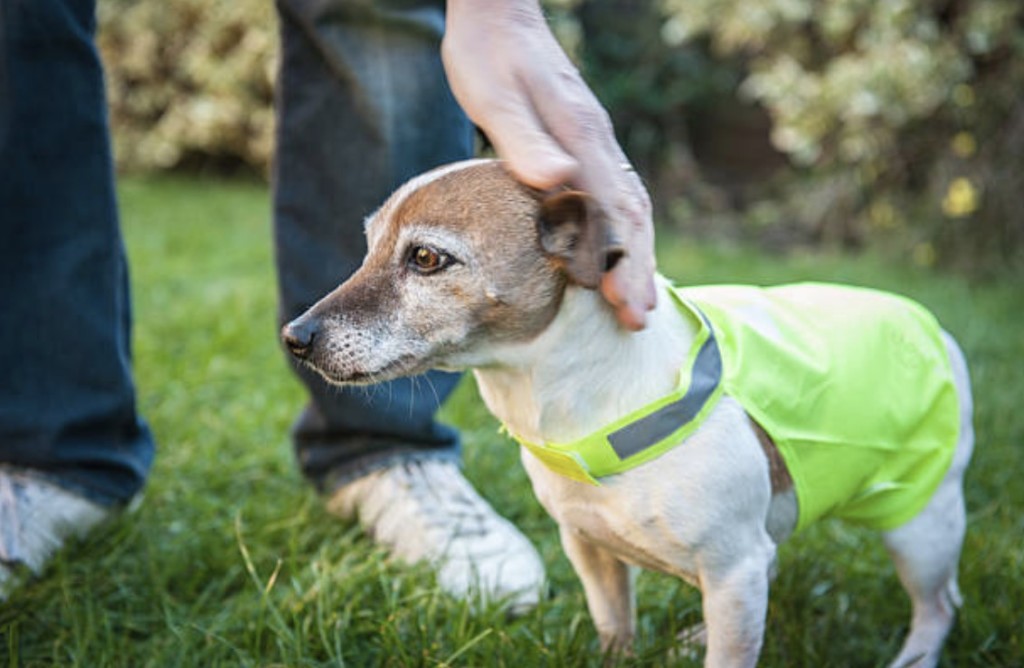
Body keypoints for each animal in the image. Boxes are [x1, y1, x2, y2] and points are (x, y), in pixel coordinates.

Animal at [284, 158, 970, 663]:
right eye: (368, 247)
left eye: (426, 258)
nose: (295, 336)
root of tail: (930, 323)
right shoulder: (591, 550)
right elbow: (615, 624)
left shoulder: (735, 570)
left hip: (919, 524)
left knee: (938, 607)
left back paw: (914, 656)